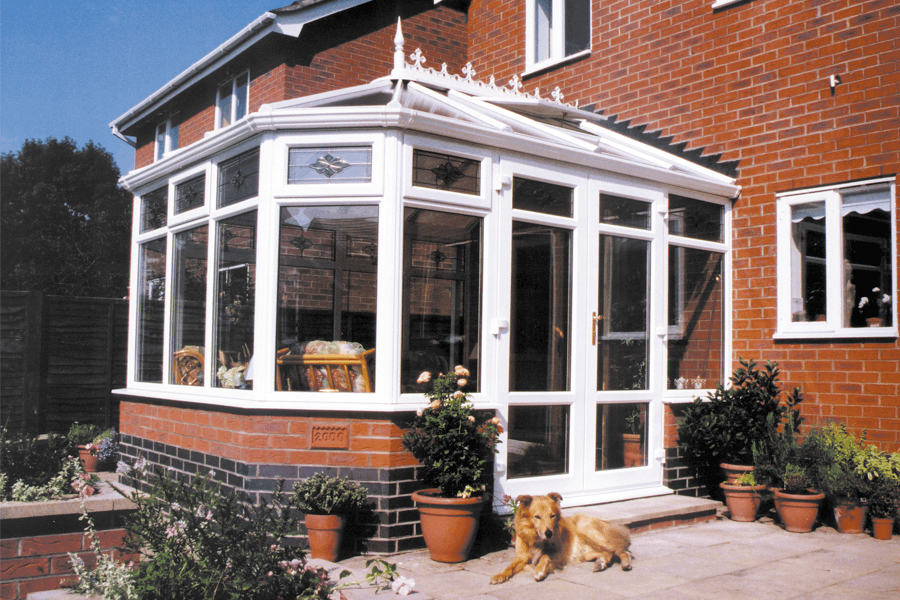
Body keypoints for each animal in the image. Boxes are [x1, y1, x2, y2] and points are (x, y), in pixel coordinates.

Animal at [488, 490, 628, 584]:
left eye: (552, 516)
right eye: (537, 517)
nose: (549, 533)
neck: (536, 539)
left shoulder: (559, 554)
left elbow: (544, 556)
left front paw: (539, 571)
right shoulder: (522, 556)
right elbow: (510, 566)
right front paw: (500, 575)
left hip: (588, 531)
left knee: (621, 551)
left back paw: (625, 563)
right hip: (584, 553)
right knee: (607, 553)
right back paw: (601, 563)